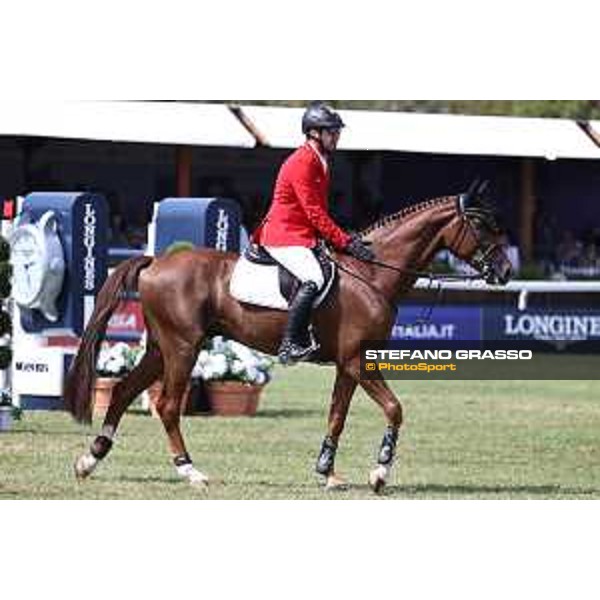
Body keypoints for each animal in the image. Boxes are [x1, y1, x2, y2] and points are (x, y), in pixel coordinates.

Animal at [63, 186, 510, 492]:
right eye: (481, 225)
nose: (505, 271)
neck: (372, 274)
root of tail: (157, 261)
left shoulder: (349, 364)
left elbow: (337, 415)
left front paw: (327, 472)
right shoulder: (359, 361)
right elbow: (395, 409)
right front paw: (380, 471)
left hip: (161, 347)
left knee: (122, 391)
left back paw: (90, 459)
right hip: (182, 348)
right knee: (168, 406)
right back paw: (190, 471)